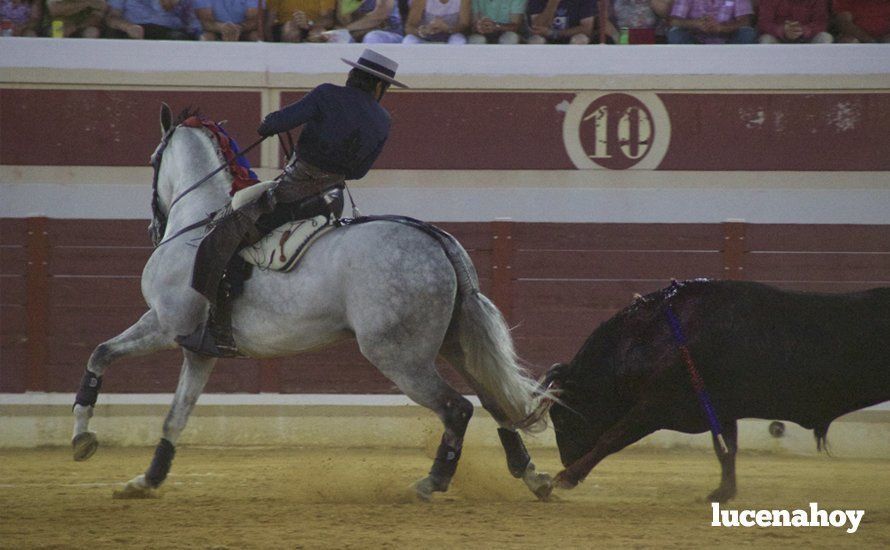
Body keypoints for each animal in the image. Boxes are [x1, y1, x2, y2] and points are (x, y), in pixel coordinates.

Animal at [71, 104, 556, 504]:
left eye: (153, 160)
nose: (153, 227)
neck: (198, 223)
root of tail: (436, 240)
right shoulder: (199, 350)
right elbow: (176, 415)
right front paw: (145, 480)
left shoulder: (166, 324)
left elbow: (100, 353)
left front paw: (83, 440)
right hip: (453, 343)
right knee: (495, 400)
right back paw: (533, 477)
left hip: (399, 357)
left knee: (458, 408)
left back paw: (430, 483)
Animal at [544, 282, 884, 502]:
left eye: (561, 417)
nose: (565, 459)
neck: (654, 337)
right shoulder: (720, 409)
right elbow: (726, 449)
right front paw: (723, 493)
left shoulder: (654, 406)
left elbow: (611, 438)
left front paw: (565, 478)